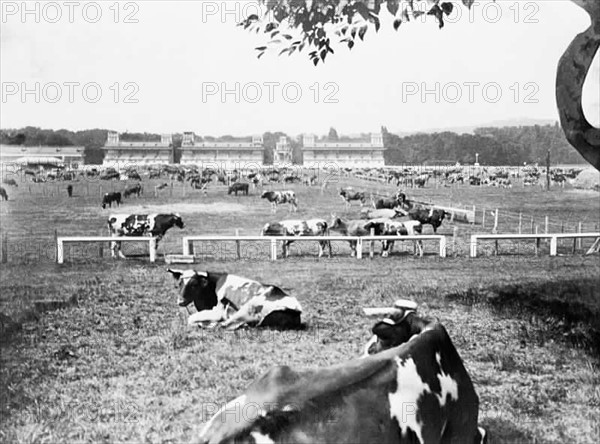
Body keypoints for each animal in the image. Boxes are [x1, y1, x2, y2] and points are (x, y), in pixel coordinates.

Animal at [166, 268, 302, 330]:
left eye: (194, 284)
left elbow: (190, 318)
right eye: (179, 284)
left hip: (248, 307)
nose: (180, 301)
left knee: (225, 325)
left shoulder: (218, 311)